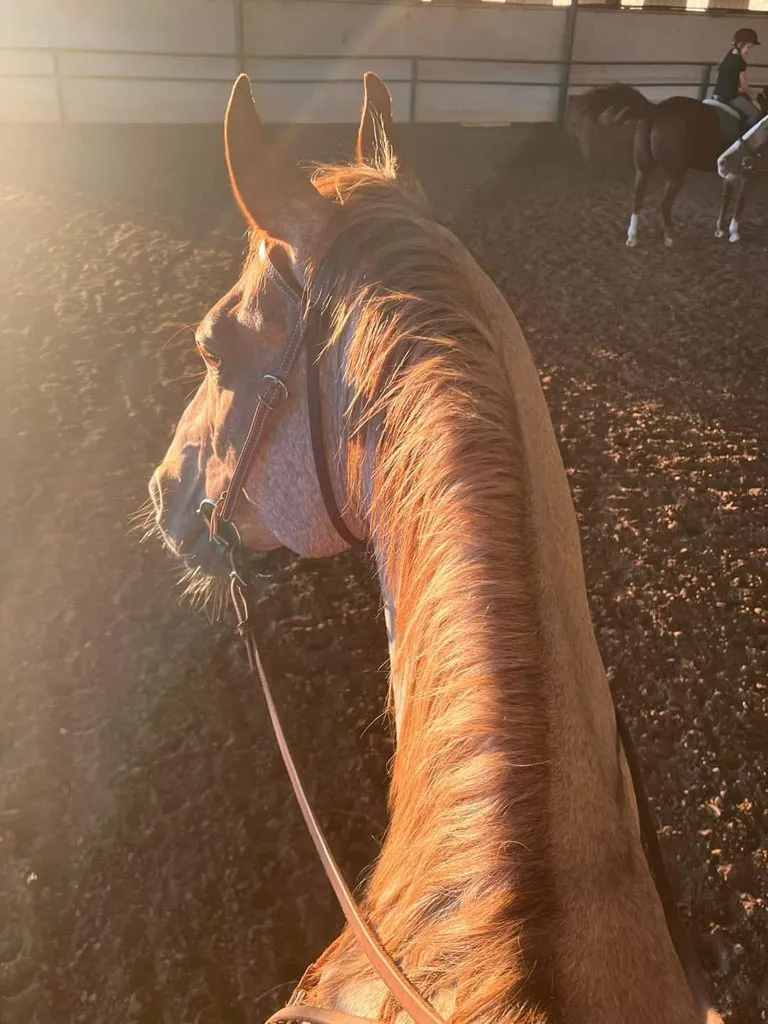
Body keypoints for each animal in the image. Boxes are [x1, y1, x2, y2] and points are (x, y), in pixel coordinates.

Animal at [575, 83, 768, 246]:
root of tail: (657, 110)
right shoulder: (750, 175)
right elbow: (740, 201)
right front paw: (733, 233)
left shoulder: (730, 173)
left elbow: (726, 199)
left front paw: (720, 229)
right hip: (676, 176)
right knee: (664, 205)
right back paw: (669, 236)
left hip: (643, 170)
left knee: (637, 200)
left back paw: (633, 236)